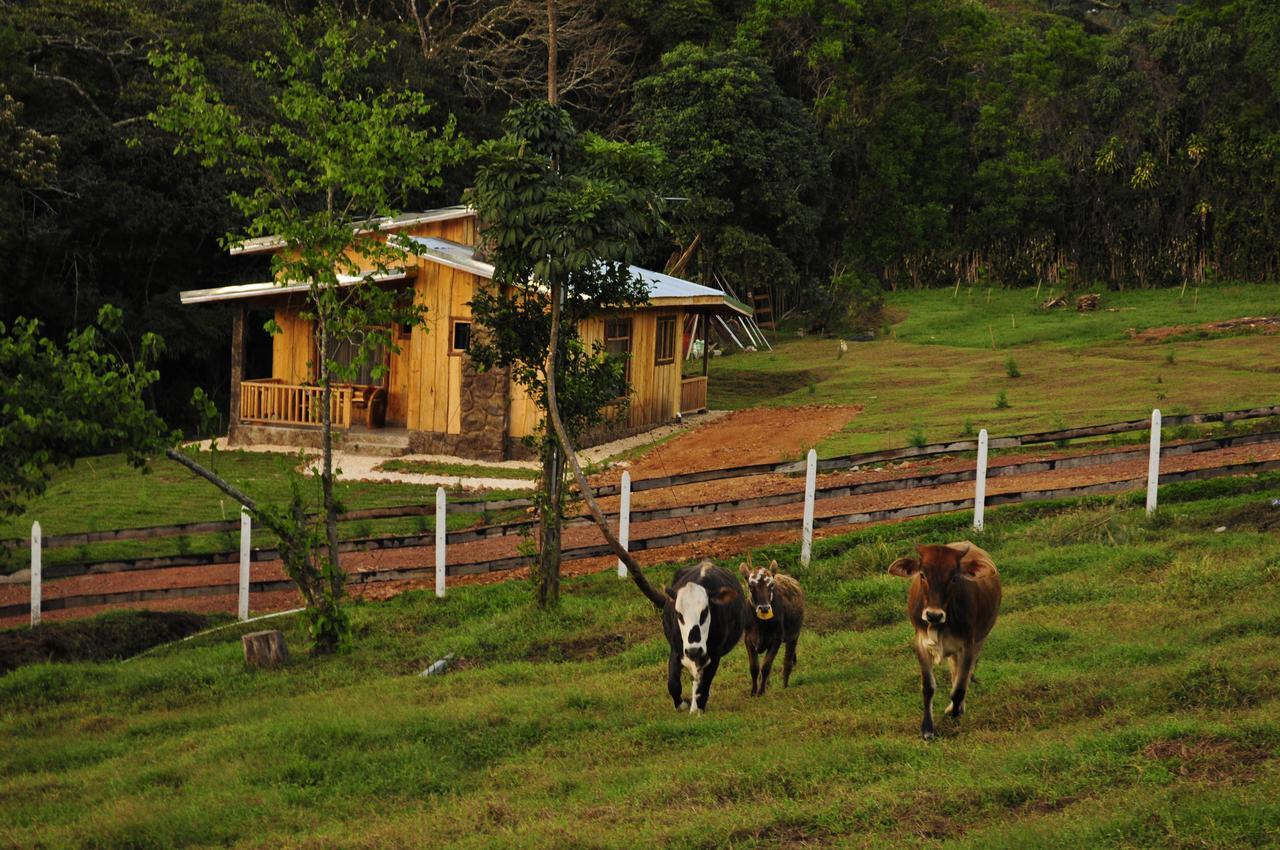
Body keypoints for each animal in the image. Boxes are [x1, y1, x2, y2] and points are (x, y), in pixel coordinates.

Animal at [742, 560, 798, 696]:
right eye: (750, 586)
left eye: (771, 585)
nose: (764, 608)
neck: (760, 625)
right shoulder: (748, 639)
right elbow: (754, 668)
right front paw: (753, 692)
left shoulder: (777, 639)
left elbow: (766, 667)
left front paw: (761, 691)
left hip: (794, 636)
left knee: (787, 662)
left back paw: (784, 685)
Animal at [890, 545, 998, 737]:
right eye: (922, 574)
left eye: (954, 577)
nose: (933, 615)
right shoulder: (921, 643)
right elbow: (928, 687)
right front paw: (927, 729)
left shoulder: (968, 645)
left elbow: (960, 688)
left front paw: (955, 712)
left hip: (980, 640)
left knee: (964, 675)